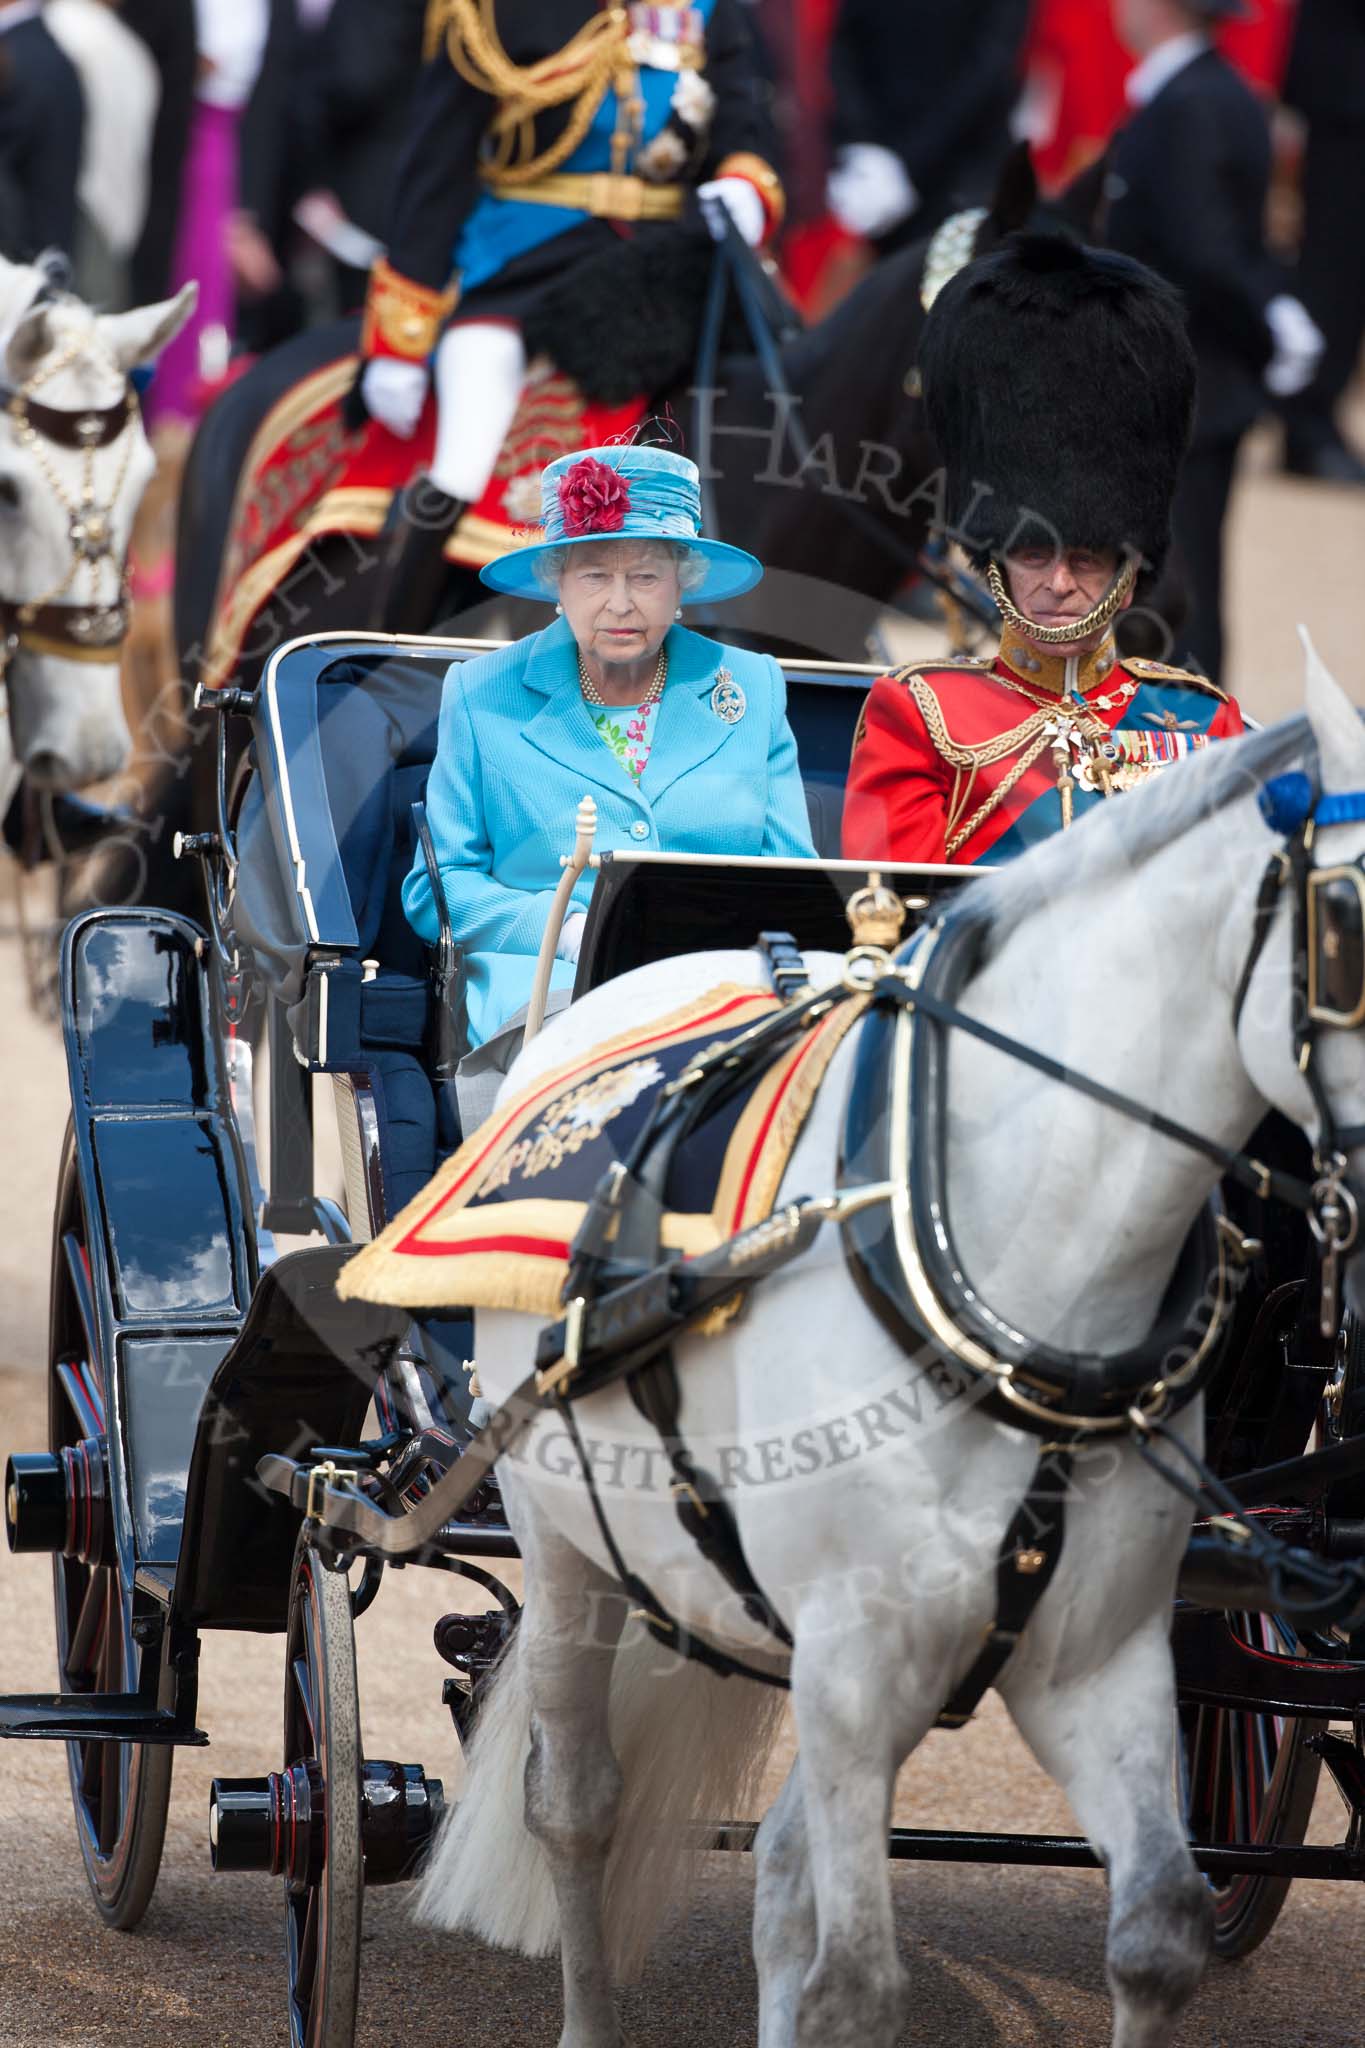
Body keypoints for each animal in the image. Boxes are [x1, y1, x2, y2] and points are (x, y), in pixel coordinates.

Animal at [417, 651, 1365, 2048]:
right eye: (1346, 924)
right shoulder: (858, 1664)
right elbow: (858, 1983)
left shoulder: (1097, 1658)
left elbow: (1155, 1933)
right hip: (570, 1549)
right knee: (575, 1804)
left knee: (774, 1871)